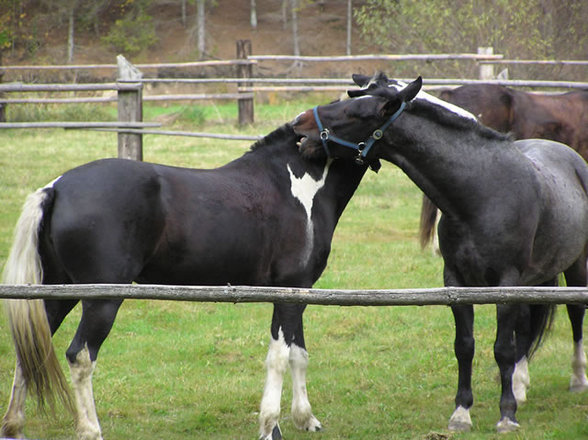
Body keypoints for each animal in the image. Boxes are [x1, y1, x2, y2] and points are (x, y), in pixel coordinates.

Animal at [1, 121, 382, 440]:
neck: (295, 185)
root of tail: (56, 189)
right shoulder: (288, 292)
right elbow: (280, 356)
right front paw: (272, 428)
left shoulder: (297, 293)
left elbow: (298, 354)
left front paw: (306, 419)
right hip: (100, 301)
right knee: (80, 357)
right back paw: (90, 430)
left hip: (57, 295)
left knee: (29, 348)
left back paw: (14, 426)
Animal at [292, 73, 588, 434]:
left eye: (354, 112)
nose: (298, 123)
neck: (483, 193)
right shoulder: (456, 283)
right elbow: (465, 346)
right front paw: (462, 412)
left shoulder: (505, 283)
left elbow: (502, 348)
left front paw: (506, 414)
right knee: (524, 327)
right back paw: (519, 385)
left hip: (575, 267)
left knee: (574, 315)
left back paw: (576, 378)